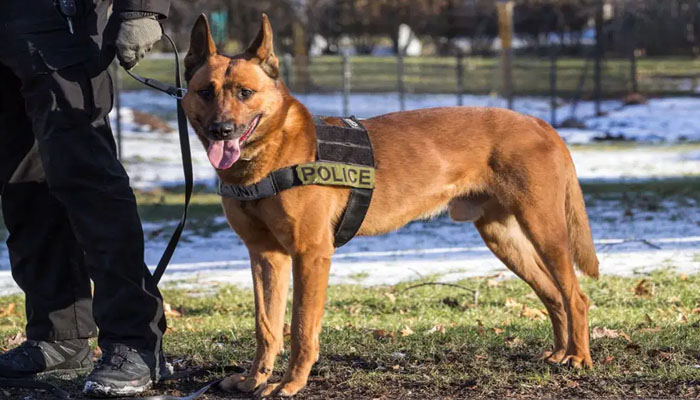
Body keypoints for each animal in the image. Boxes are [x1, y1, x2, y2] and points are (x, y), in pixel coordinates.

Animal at [183, 12, 600, 396]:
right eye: (206, 92)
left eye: (244, 92)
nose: (221, 130)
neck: (273, 152)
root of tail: (540, 123)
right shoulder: (265, 256)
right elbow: (266, 326)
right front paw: (255, 379)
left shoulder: (311, 254)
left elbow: (301, 327)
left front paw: (290, 384)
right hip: (504, 240)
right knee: (553, 295)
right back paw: (558, 353)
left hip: (545, 231)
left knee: (575, 296)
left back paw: (578, 357)